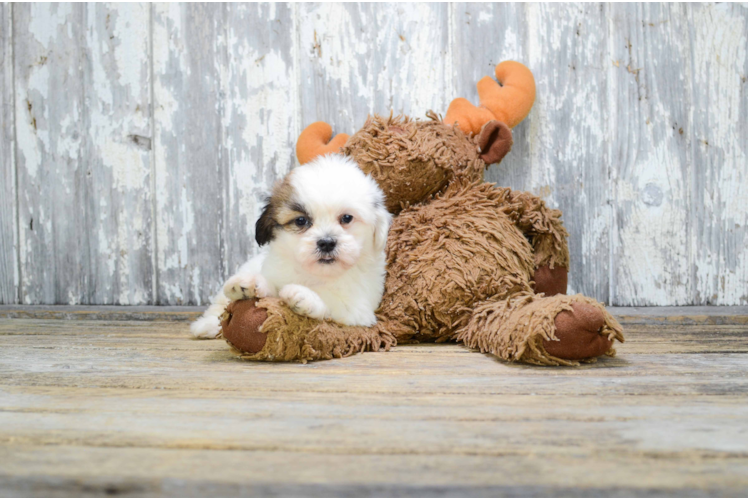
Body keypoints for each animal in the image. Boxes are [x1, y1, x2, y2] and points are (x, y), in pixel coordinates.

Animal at [190, 154, 392, 338]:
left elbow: (332, 302)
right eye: (301, 221)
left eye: (347, 218)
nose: (326, 242)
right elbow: (272, 290)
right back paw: (207, 325)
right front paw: (251, 284)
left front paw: (305, 296)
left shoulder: (359, 308)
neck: (316, 275)